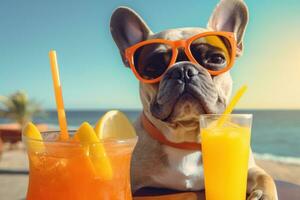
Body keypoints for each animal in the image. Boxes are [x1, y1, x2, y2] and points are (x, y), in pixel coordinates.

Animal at [109, 0, 276, 199]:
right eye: (152, 68)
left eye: (216, 59)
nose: (183, 70)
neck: (185, 138)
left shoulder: (249, 168)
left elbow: (265, 177)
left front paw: (265, 195)